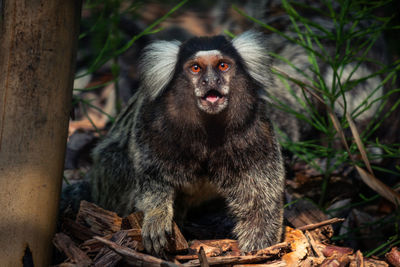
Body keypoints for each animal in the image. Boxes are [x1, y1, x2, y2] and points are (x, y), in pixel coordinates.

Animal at [91, 31, 284, 258]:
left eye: (222, 66)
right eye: (196, 68)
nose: (211, 80)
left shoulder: (254, 127)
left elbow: (261, 195)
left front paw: (260, 247)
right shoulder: (150, 123)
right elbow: (152, 179)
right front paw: (156, 216)